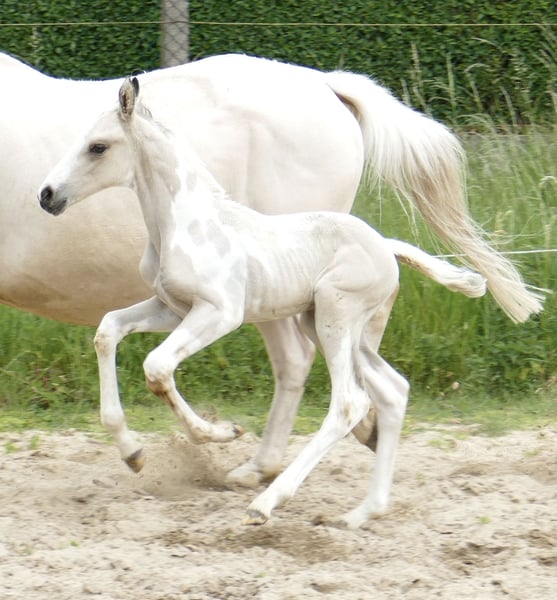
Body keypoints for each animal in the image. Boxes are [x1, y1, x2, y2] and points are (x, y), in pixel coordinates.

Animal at [2, 52, 543, 488]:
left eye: (98, 146)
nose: (47, 195)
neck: (187, 220)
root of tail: (325, 83)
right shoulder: (171, 306)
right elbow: (109, 332)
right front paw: (135, 452)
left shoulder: (218, 312)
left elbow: (156, 367)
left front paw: (219, 432)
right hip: (318, 316)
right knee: (359, 378)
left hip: (310, 313)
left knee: (307, 368)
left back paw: (270, 469)